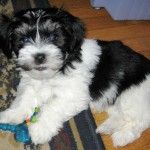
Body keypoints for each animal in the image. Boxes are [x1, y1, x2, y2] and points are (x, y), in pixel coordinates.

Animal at [0, 7, 150, 146]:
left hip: (133, 94)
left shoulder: (73, 94)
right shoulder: (31, 84)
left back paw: (121, 137)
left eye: (53, 37)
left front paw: (40, 130)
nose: (40, 56)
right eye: (24, 39)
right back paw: (107, 128)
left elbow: (52, 107)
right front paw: (11, 114)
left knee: (138, 120)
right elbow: (24, 99)